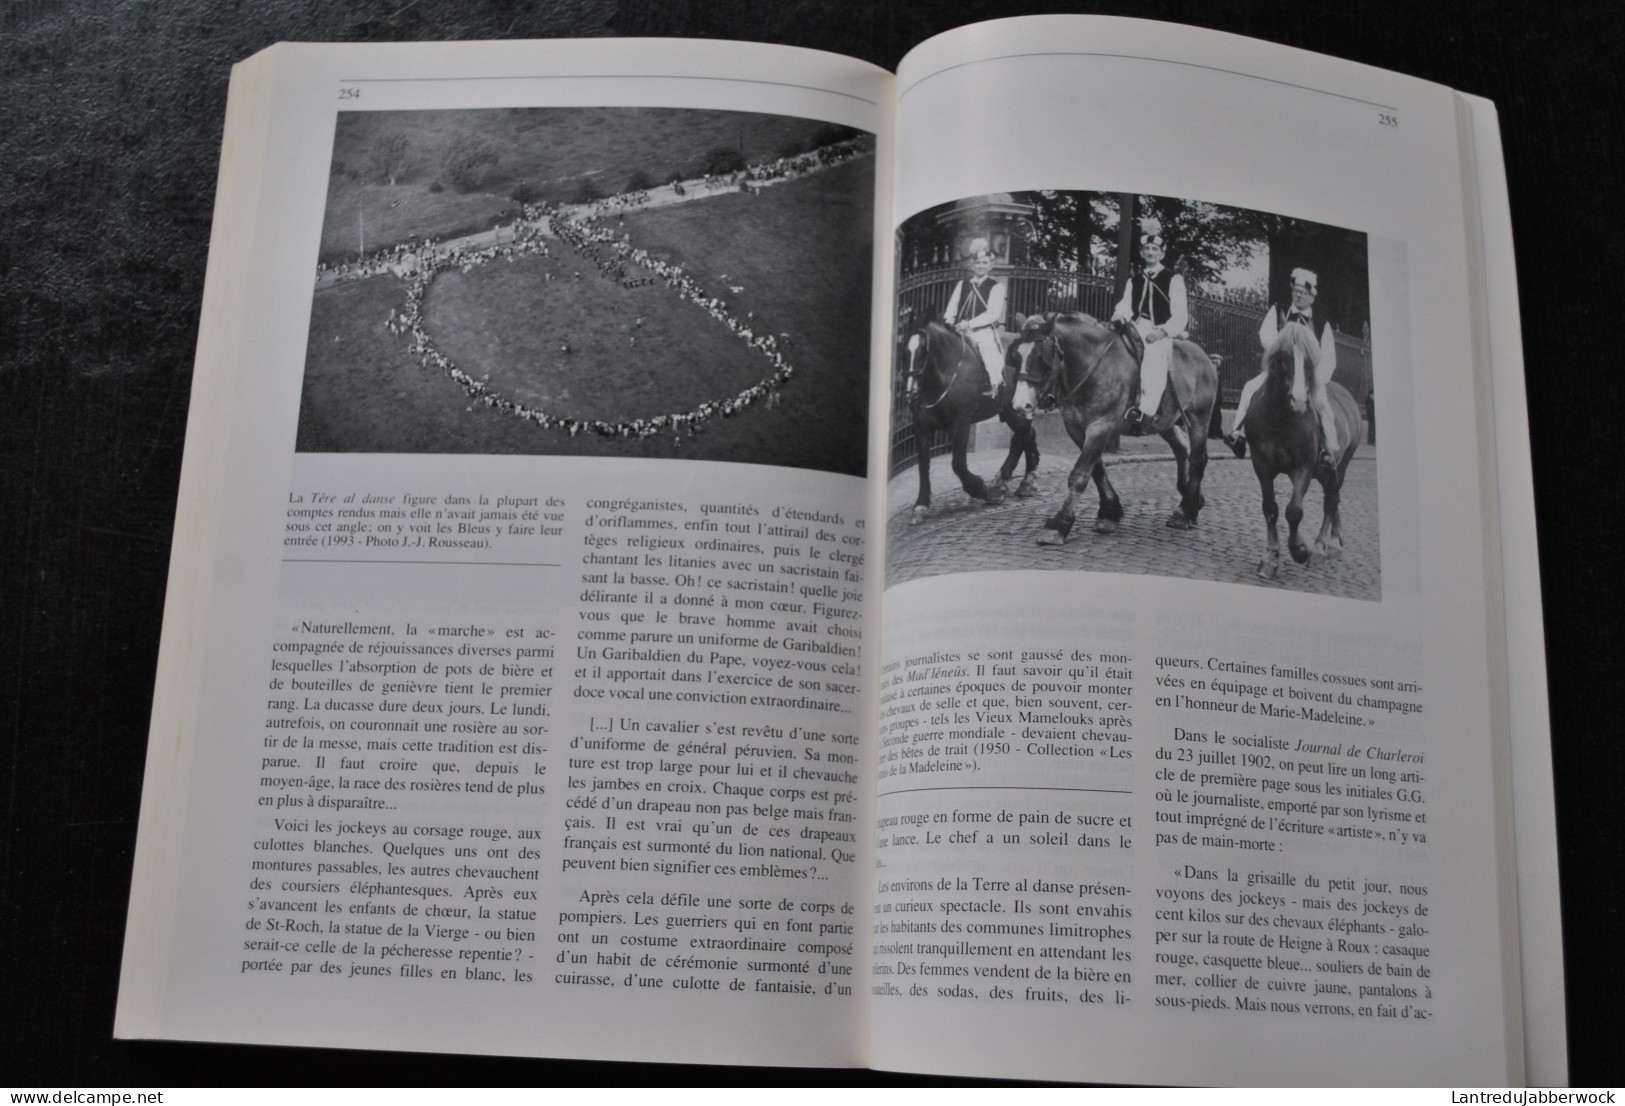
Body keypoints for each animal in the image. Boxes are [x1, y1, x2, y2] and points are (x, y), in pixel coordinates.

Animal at [903, 315, 1040, 522]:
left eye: (924, 349)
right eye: (905, 349)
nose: (911, 394)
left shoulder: (961, 423)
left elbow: (958, 464)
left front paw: (980, 488)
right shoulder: (921, 426)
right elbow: (923, 464)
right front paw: (921, 504)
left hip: (1018, 411)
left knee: (1021, 437)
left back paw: (1010, 484)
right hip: (1011, 411)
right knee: (1026, 436)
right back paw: (1019, 483)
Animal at [1014, 310, 1222, 542]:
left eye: (1042, 358)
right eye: (1016, 356)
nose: (1021, 405)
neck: (1092, 365)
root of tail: (1204, 356)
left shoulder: (1101, 426)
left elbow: (1079, 475)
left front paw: (1060, 524)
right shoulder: (1077, 428)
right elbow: (1096, 470)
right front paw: (1109, 512)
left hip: (1199, 418)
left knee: (1197, 459)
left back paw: (1186, 511)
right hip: (1166, 422)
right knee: (1182, 450)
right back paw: (1190, 500)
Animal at [1241, 319, 1358, 578]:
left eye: (1309, 360)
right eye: (1284, 357)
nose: (1300, 401)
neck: (1280, 418)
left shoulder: (1303, 466)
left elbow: (1294, 510)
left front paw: (1300, 549)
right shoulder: (1261, 464)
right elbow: (1271, 508)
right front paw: (1271, 557)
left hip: (1340, 465)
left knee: (1331, 500)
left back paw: (1322, 547)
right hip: (1325, 472)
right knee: (1333, 497)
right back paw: (1334, 542)